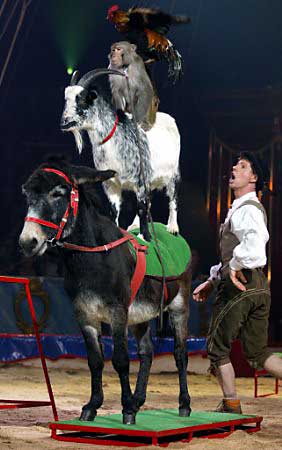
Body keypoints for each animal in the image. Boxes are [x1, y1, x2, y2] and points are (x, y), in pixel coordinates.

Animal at [19, 158, 192, 426]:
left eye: (57, 194)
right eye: (28, 195)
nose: (28, 242)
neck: (94, 257)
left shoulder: (117, 312)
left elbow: (120, 360)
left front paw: (127, 410)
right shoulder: (85, 315)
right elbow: (95, 360)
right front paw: (92, 406)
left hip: (179, 307)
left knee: (180, 353)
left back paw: (183, 404)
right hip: (140, 316)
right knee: (147, 353)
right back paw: (139, 400)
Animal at [60, 68, 181, 241]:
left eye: (83, 99)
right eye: (66, 99)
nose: (64, 122)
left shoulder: (141, 180)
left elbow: (141, 208)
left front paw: (145, 237)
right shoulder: (110, 183)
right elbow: (114, 210)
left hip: (173, 173)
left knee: (172, 198)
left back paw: (172, 227)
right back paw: (134, 225)